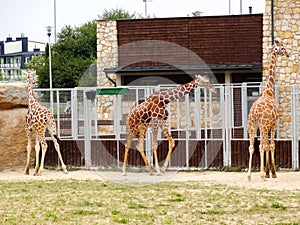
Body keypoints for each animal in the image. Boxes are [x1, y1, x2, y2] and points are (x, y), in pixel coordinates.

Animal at [247, 39, 290, 182]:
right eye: (282, 47)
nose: (288, 53)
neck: (269, 91)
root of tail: (254, 112)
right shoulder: (273, 124)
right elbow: (271, 145)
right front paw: (271, 173)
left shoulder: (266, 127)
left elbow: (266, 145)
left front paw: (268, 172)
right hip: (263, 126)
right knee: (261, 146)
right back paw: (261, 175)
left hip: (252, 126)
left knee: (252, 147)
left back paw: (249, 176)